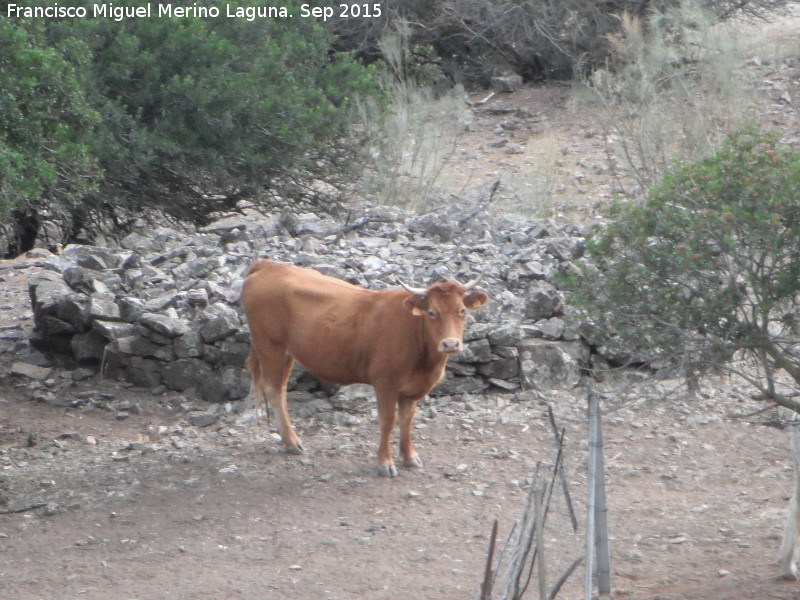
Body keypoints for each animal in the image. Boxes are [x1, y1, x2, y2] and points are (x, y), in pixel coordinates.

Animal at [239, 260, 488, 476]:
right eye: (432, 312)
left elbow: (407, 420)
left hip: (286, 351)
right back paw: (292, 442)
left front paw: (409, 457)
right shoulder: (385, 382)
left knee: (278, 389)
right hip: (270, 346)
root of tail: (268, 265)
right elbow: (388, 421)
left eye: (462, 311)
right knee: (274, 389)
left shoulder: (412, 388)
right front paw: (385, 463)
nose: (450, 344)